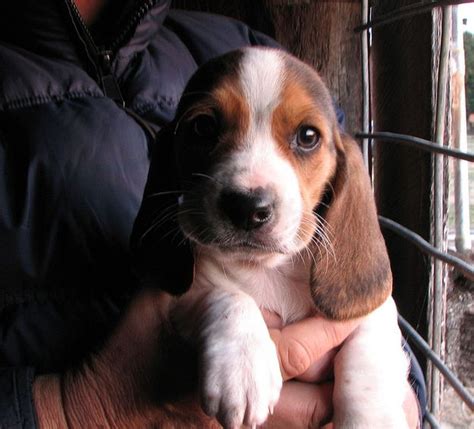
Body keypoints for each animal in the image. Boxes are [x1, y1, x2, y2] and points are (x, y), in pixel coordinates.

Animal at [132, 46, 408, 428]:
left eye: (308, 136)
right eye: (203, 127)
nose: (248, 207)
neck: (270, 269)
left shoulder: (376, 313)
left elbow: (367, 354)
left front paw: (371, 418)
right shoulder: (180, 304)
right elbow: (227, 296)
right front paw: (244, 367)